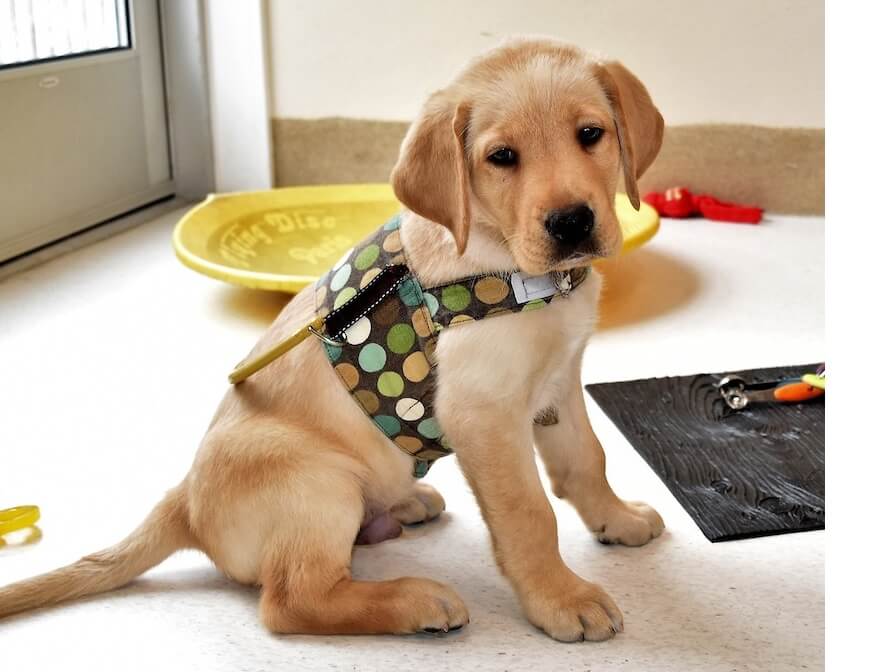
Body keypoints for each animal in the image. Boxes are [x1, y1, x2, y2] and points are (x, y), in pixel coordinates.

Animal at [0, 35, 660, 640]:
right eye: (501, 156)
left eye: (591, 134)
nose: (571, 222)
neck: (516, 271)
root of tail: (184, 501)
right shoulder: (484, 412)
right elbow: (529, 513)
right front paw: (561, 599)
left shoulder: (559, 383)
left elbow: (587, 460)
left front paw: (617, 519)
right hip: (318, 480)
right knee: (291, 602)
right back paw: (416, 600)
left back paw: (407, 506)